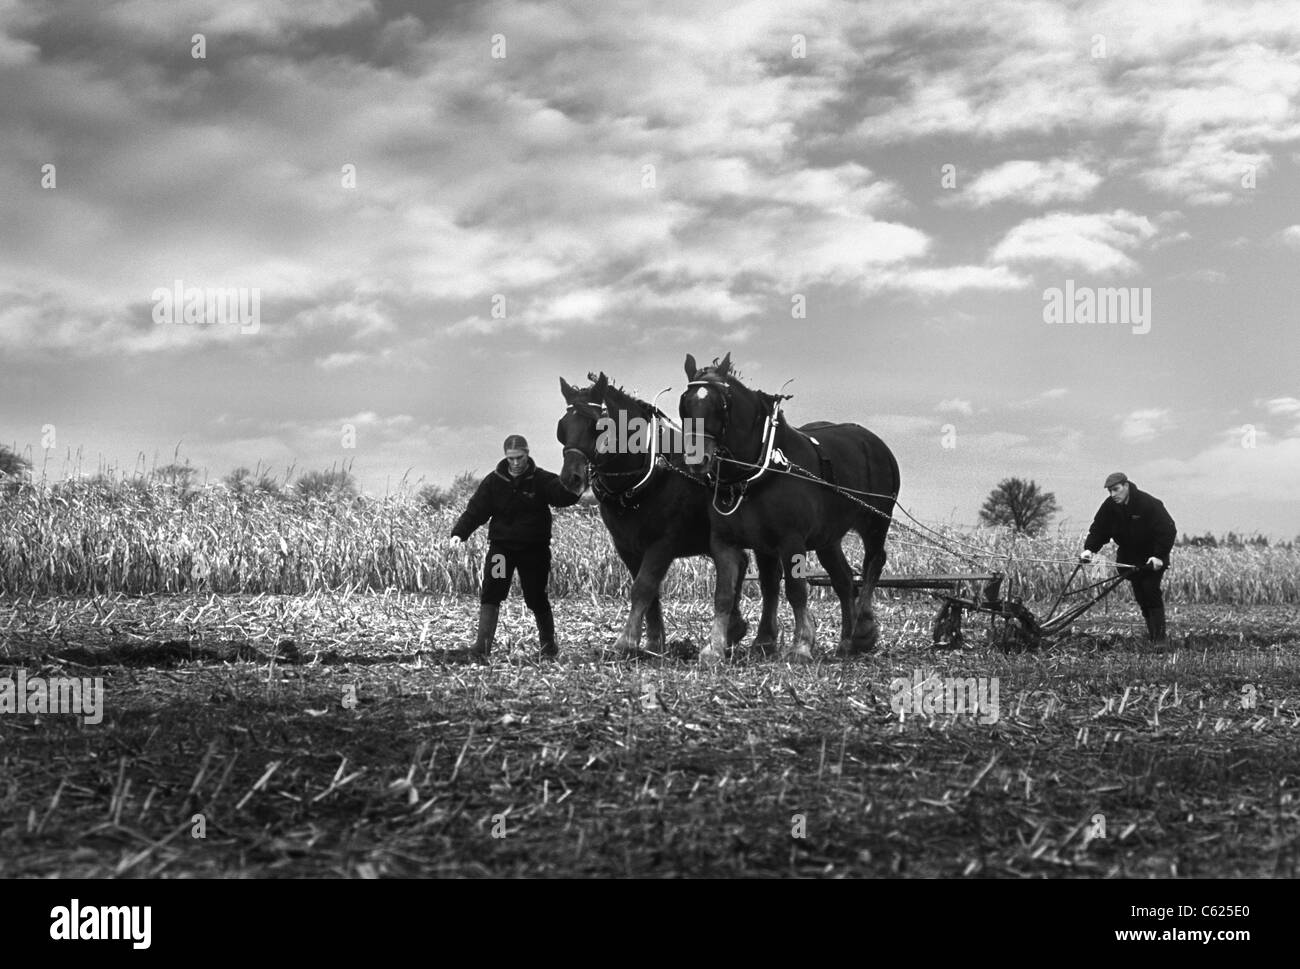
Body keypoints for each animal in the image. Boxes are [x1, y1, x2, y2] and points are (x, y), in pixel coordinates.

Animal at [553, 374, 774, 652]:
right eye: (562, 427)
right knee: (740, 564)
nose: (570, 478)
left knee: (768, 581)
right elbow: (650, 590)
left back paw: (762, 639)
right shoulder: (626, 545)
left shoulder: (664, 542)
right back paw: (734, 628)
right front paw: (654, 640)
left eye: (598, 425)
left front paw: (626, 642)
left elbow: (643, 586)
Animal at [676, 351, 899, 660]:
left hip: (876, 522)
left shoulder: (790, 539)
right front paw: (726, 646)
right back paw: (846, 641)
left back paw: (863, 630)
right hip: (828, 538)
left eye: (721, 405)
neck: (760, 469)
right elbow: (735, 592)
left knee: (873, 563)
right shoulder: (730, 541)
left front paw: (802, 645)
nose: (698, 460)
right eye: (685, 404)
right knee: (843, 580)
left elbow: (795, 590)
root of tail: (877, 443)